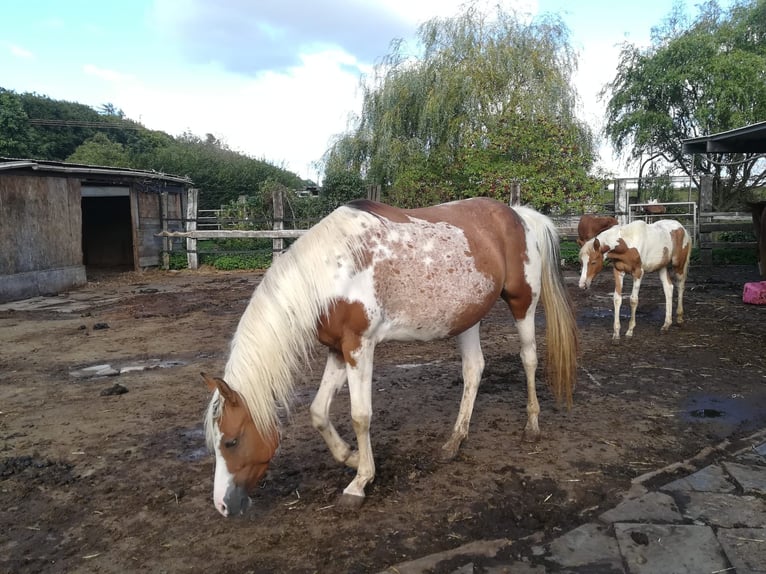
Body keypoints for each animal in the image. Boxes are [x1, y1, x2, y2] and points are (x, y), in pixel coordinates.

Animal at [201, 197, 580, 516]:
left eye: (232, 441)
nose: (222, 506)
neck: (331, 272)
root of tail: (518, 215)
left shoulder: (360, 346)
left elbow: (360, 416)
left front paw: (360, 482)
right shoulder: (338, 350)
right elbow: (318, 411)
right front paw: (350, 457)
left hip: (522, 303)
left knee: (528, 358)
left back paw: (532, 425)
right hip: (467, 316)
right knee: (474, 369)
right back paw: (454, 441)